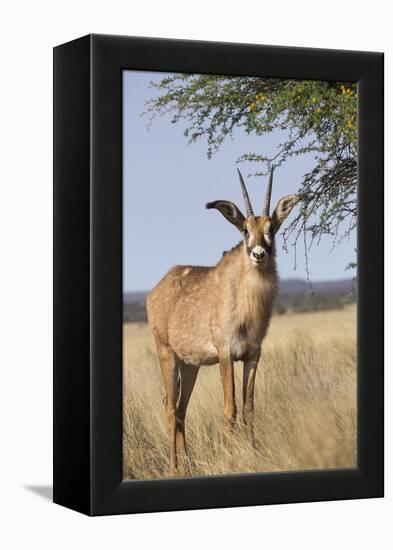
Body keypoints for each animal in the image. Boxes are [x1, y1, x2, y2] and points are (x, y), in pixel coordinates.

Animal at [145, 167, 298, 474]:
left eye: (271, 229)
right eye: (245, 230)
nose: (259, 254)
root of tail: (157, 289)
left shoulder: (253, 355)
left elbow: (249, 407)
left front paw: (254, 454)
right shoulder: (226, 354)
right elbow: (230, 409)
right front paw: (230, 461)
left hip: (189, 365)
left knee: (181, 409)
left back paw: (188, 467)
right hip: (166, 354)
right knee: (170, 406)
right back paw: (174, 467)